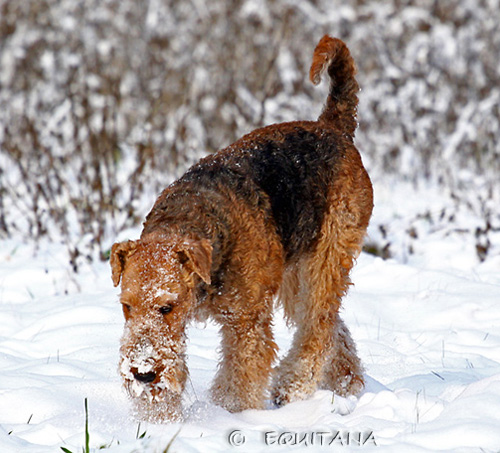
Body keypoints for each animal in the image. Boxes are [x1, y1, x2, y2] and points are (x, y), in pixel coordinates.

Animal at [111, 34, 374, 420]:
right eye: (126, 306)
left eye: (167, 307)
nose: (143, 374)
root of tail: (333, 127)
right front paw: (158, 420)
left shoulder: (246, 322)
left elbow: (239, 380)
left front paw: (234, 416)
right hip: (295, 275)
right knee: (334, 331)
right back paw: (347, 384)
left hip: (326, 261)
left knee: (319, 327)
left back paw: (292, 387)